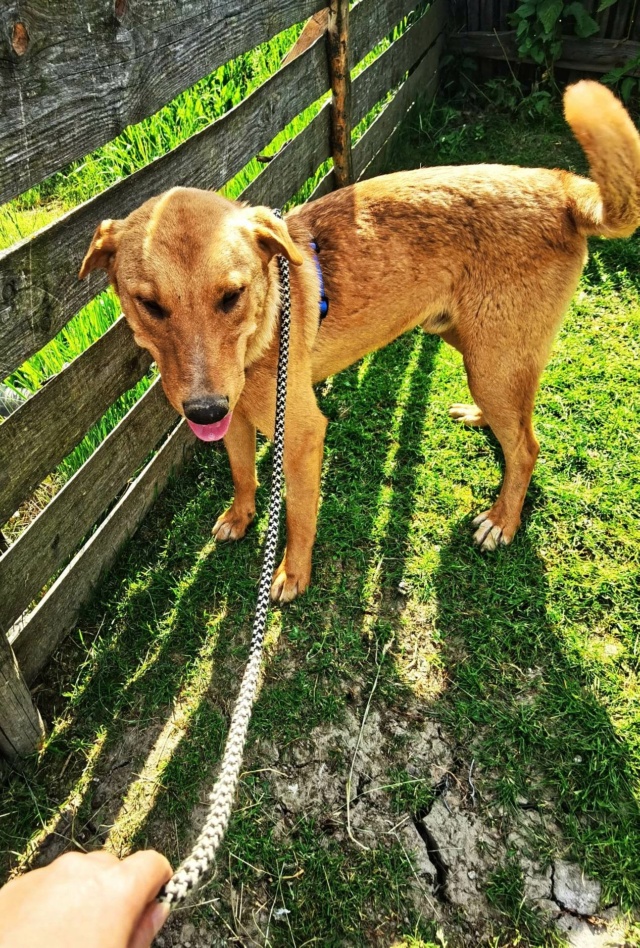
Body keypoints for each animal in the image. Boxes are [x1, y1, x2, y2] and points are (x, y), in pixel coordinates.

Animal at [79, 81, 640, 600]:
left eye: (231, 296)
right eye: (150, 305)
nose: (203, 410)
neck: (264, 324)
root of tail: (561, 188)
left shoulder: (301, 434)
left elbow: (298, 515)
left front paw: (292, 573)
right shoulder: (233, 420)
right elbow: (241, 473)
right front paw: (241, 516)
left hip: (492, 361)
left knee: (527, 446)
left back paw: (503, 519)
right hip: (478, 349)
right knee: (520, 418)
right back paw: (482, 421)